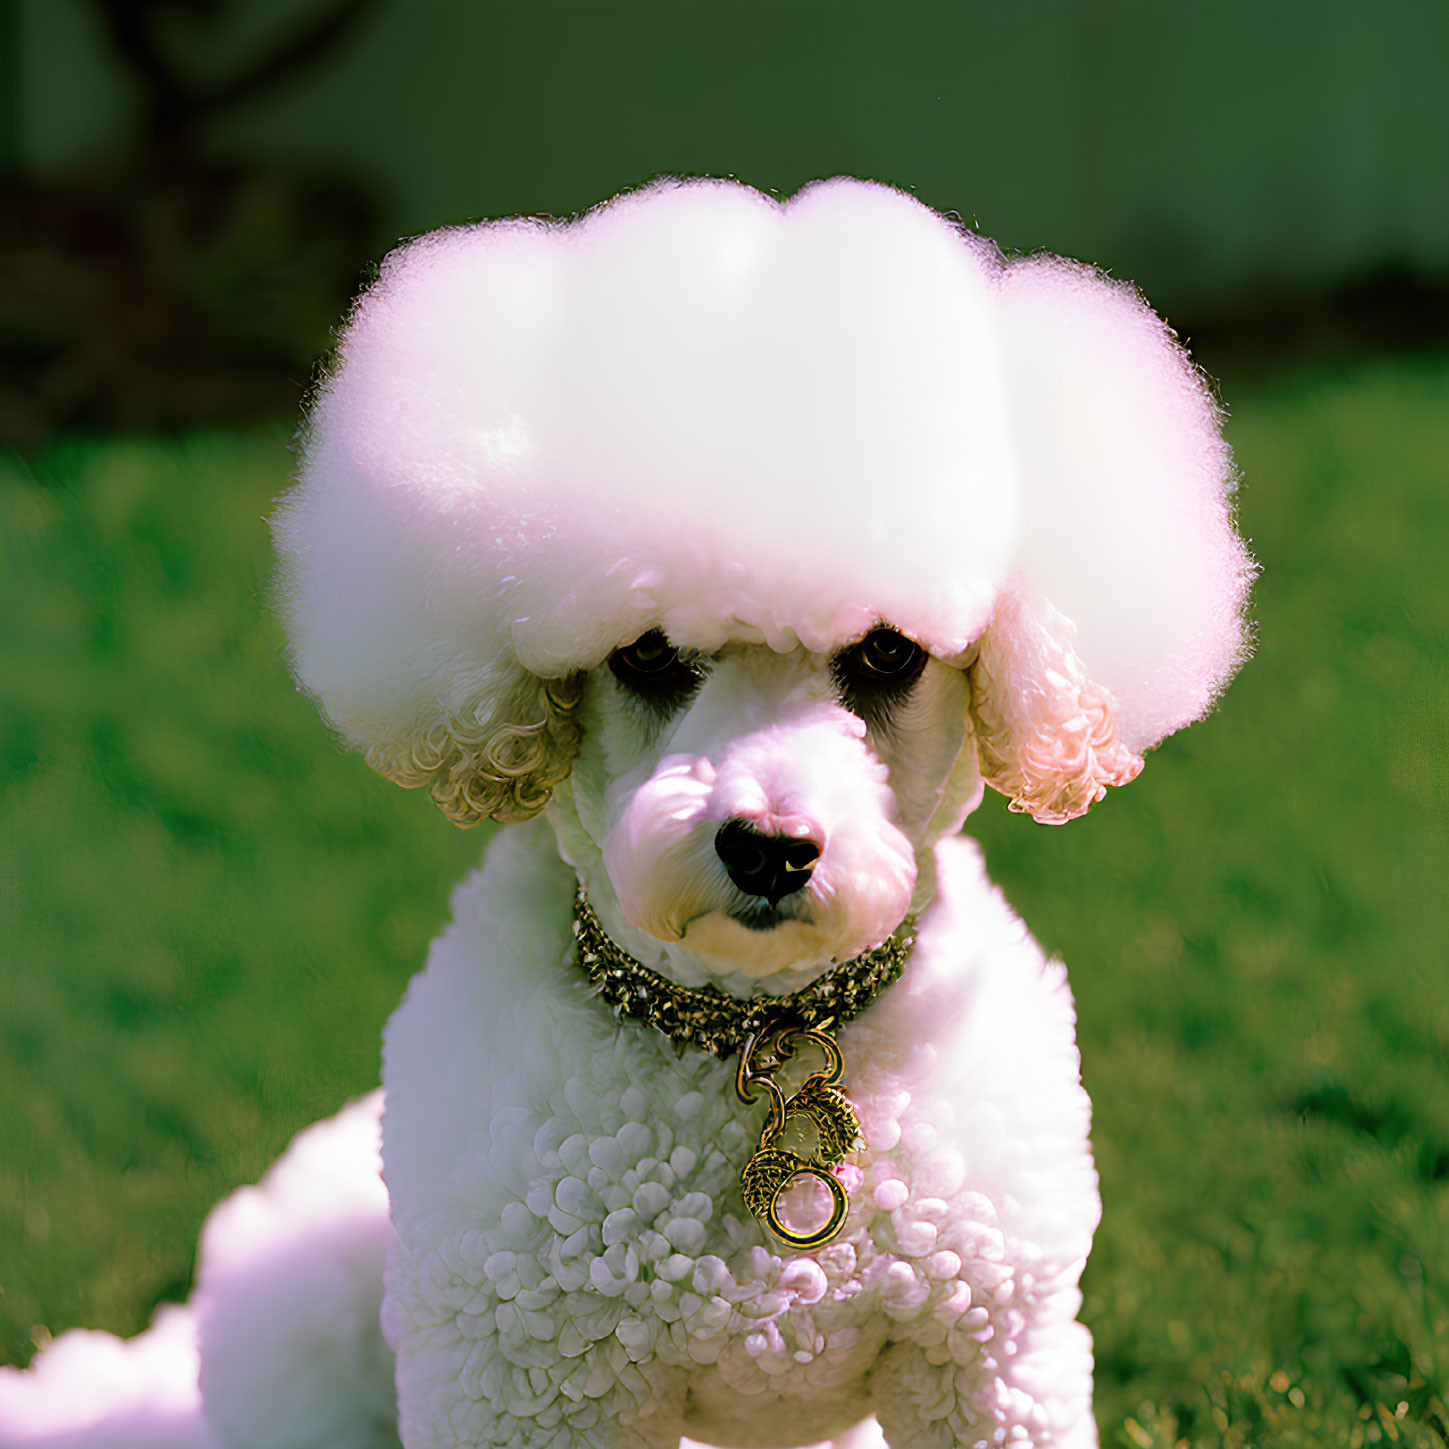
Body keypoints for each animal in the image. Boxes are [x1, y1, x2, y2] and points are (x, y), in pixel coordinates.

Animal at [0, 178, 1251, 1449]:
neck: (754, 1031)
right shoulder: (525, 1385)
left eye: (889, 652)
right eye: (647, 652)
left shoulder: (984, 1355)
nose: (769, 851)